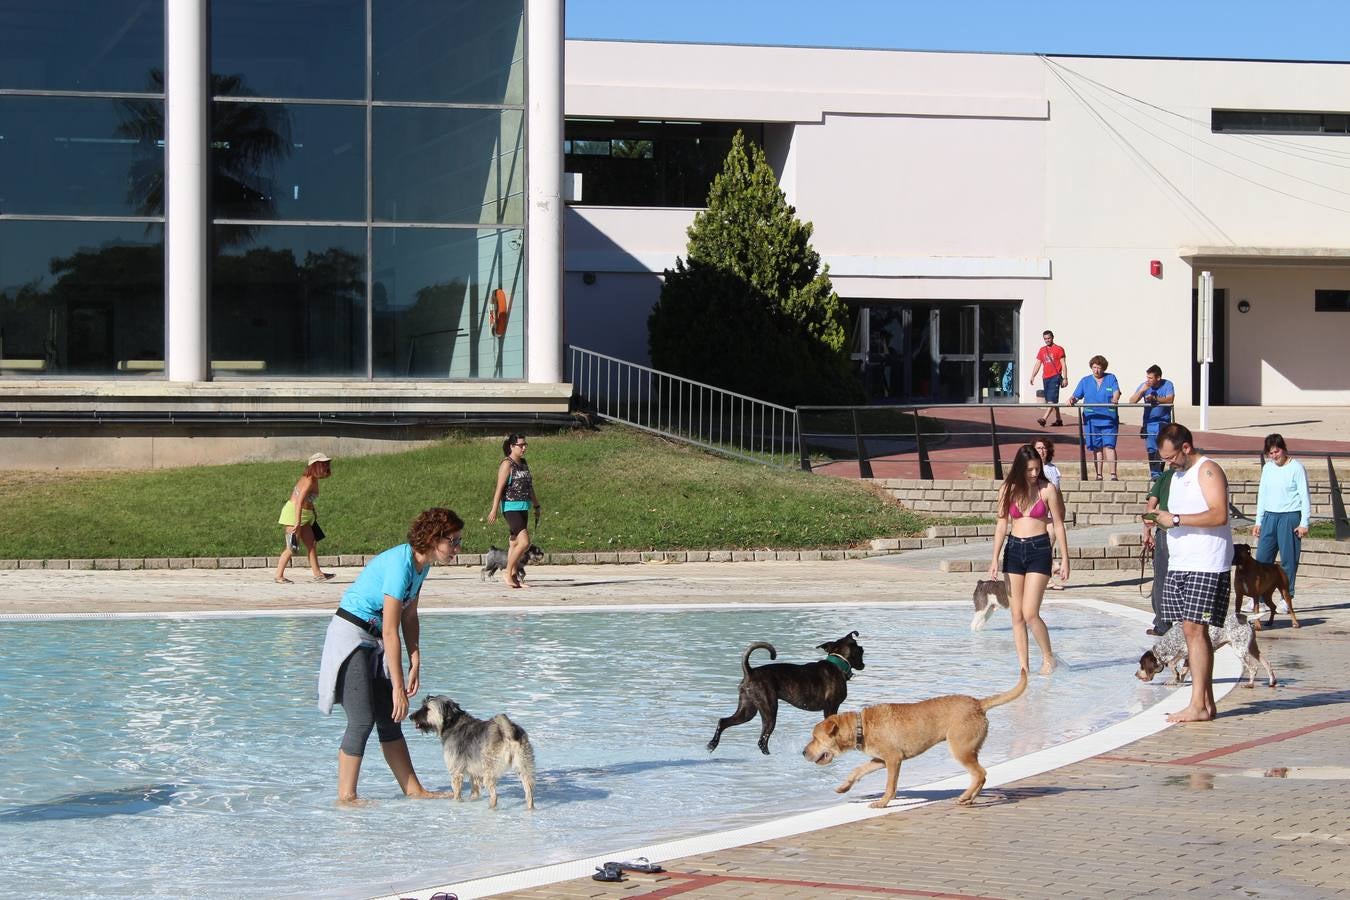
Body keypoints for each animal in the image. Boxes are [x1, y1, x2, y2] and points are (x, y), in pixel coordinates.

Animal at [707, 631, 864, 755]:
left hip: (747, 710)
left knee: (723, 721)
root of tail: (750, 672)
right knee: (762, 740)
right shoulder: (831, 708)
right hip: (769, 711)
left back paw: (712, 744)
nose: (863, 664)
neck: (838, 663)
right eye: (860, 650)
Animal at [1128, 620, 1274, 690]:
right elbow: (1183, 671)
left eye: (1141, 665)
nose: (1135, 674)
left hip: (1240, 650)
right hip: (1252, 648)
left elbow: (1173, 665)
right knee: (1267, 663)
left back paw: (1250, 684)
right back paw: (1272, 681)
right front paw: (1178, 680)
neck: (1168, 643)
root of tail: (1248, 620)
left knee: (1253, 668)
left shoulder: (1182, 652)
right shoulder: (1187, 657)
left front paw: (1174, 679)